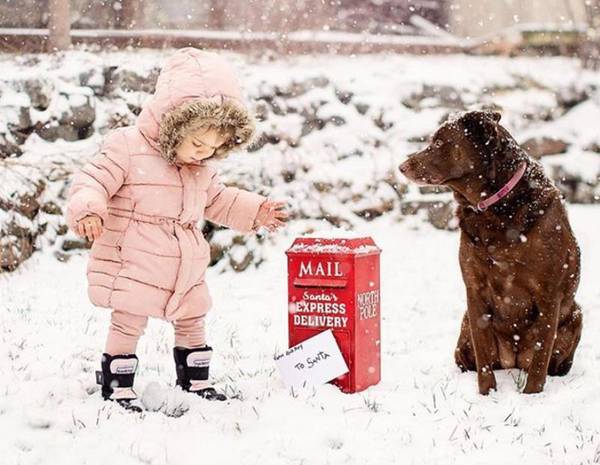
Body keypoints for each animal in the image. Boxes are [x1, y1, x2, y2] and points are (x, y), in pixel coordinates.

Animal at [398, 110, 580, 394]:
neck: (495, 208)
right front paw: (488, 393)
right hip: (464, 328)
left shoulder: (549, 293)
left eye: (438, 143)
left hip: (575, 316)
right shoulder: (474, 289)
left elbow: (541, 356)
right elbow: (482, 348)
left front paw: (531, 395)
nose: (402, 167)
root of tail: (513, 360)